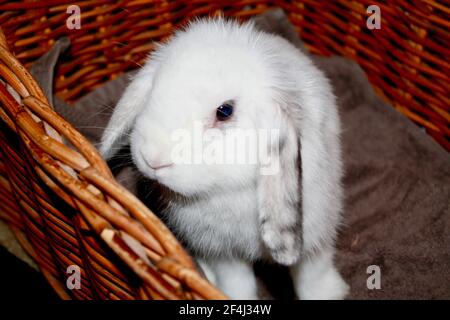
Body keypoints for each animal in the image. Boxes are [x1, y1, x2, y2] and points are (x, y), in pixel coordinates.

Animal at [100, 18, 350, 300]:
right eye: (154, 88)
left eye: (225, 111)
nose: (152, 159)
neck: (229, 189)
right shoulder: (223, 251)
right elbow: (236, 280)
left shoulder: (316, 233)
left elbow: (312, 272)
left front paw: (330, 294)